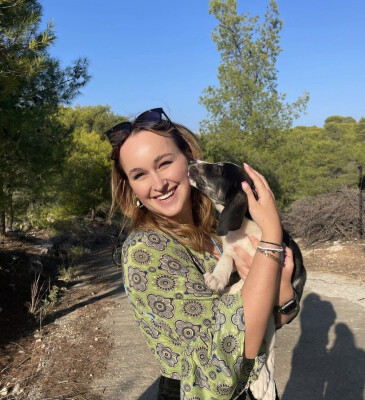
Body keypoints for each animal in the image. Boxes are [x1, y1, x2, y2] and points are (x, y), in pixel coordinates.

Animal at [188, 159, 304, 400]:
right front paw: (217, 279)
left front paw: (229, 289)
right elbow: (226, 260)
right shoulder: (231, 251)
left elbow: (245, 279)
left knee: (267, 353)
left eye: (217, 169)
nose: (192, 161)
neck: (244, 226)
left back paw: (263, 383)